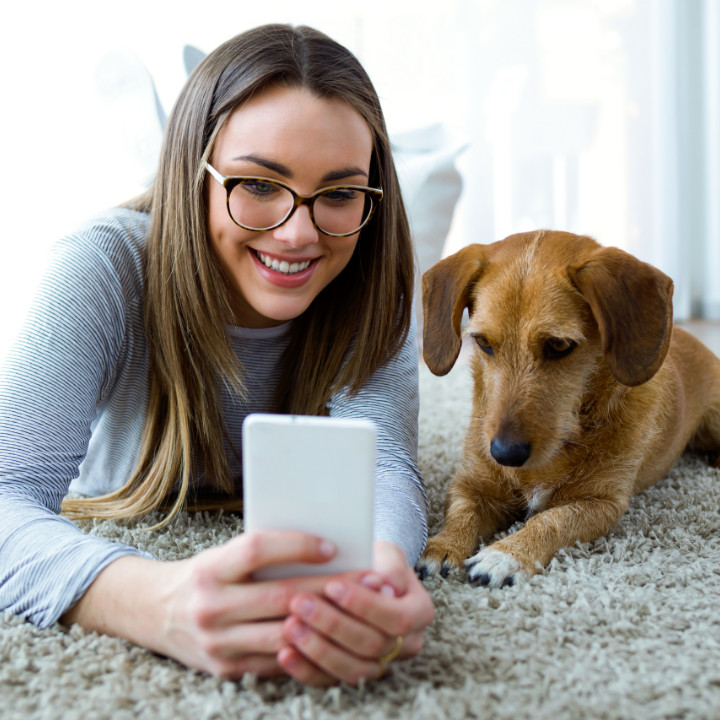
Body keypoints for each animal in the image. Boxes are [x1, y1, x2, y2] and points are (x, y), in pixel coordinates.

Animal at [416, 233, 720, 588]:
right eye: (483, 342)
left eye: (559, 345)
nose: (504, 454)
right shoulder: (471, 486)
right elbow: (461, 513)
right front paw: (443, 546)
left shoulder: (601, 504)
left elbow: (551, 520)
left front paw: (506, 554)